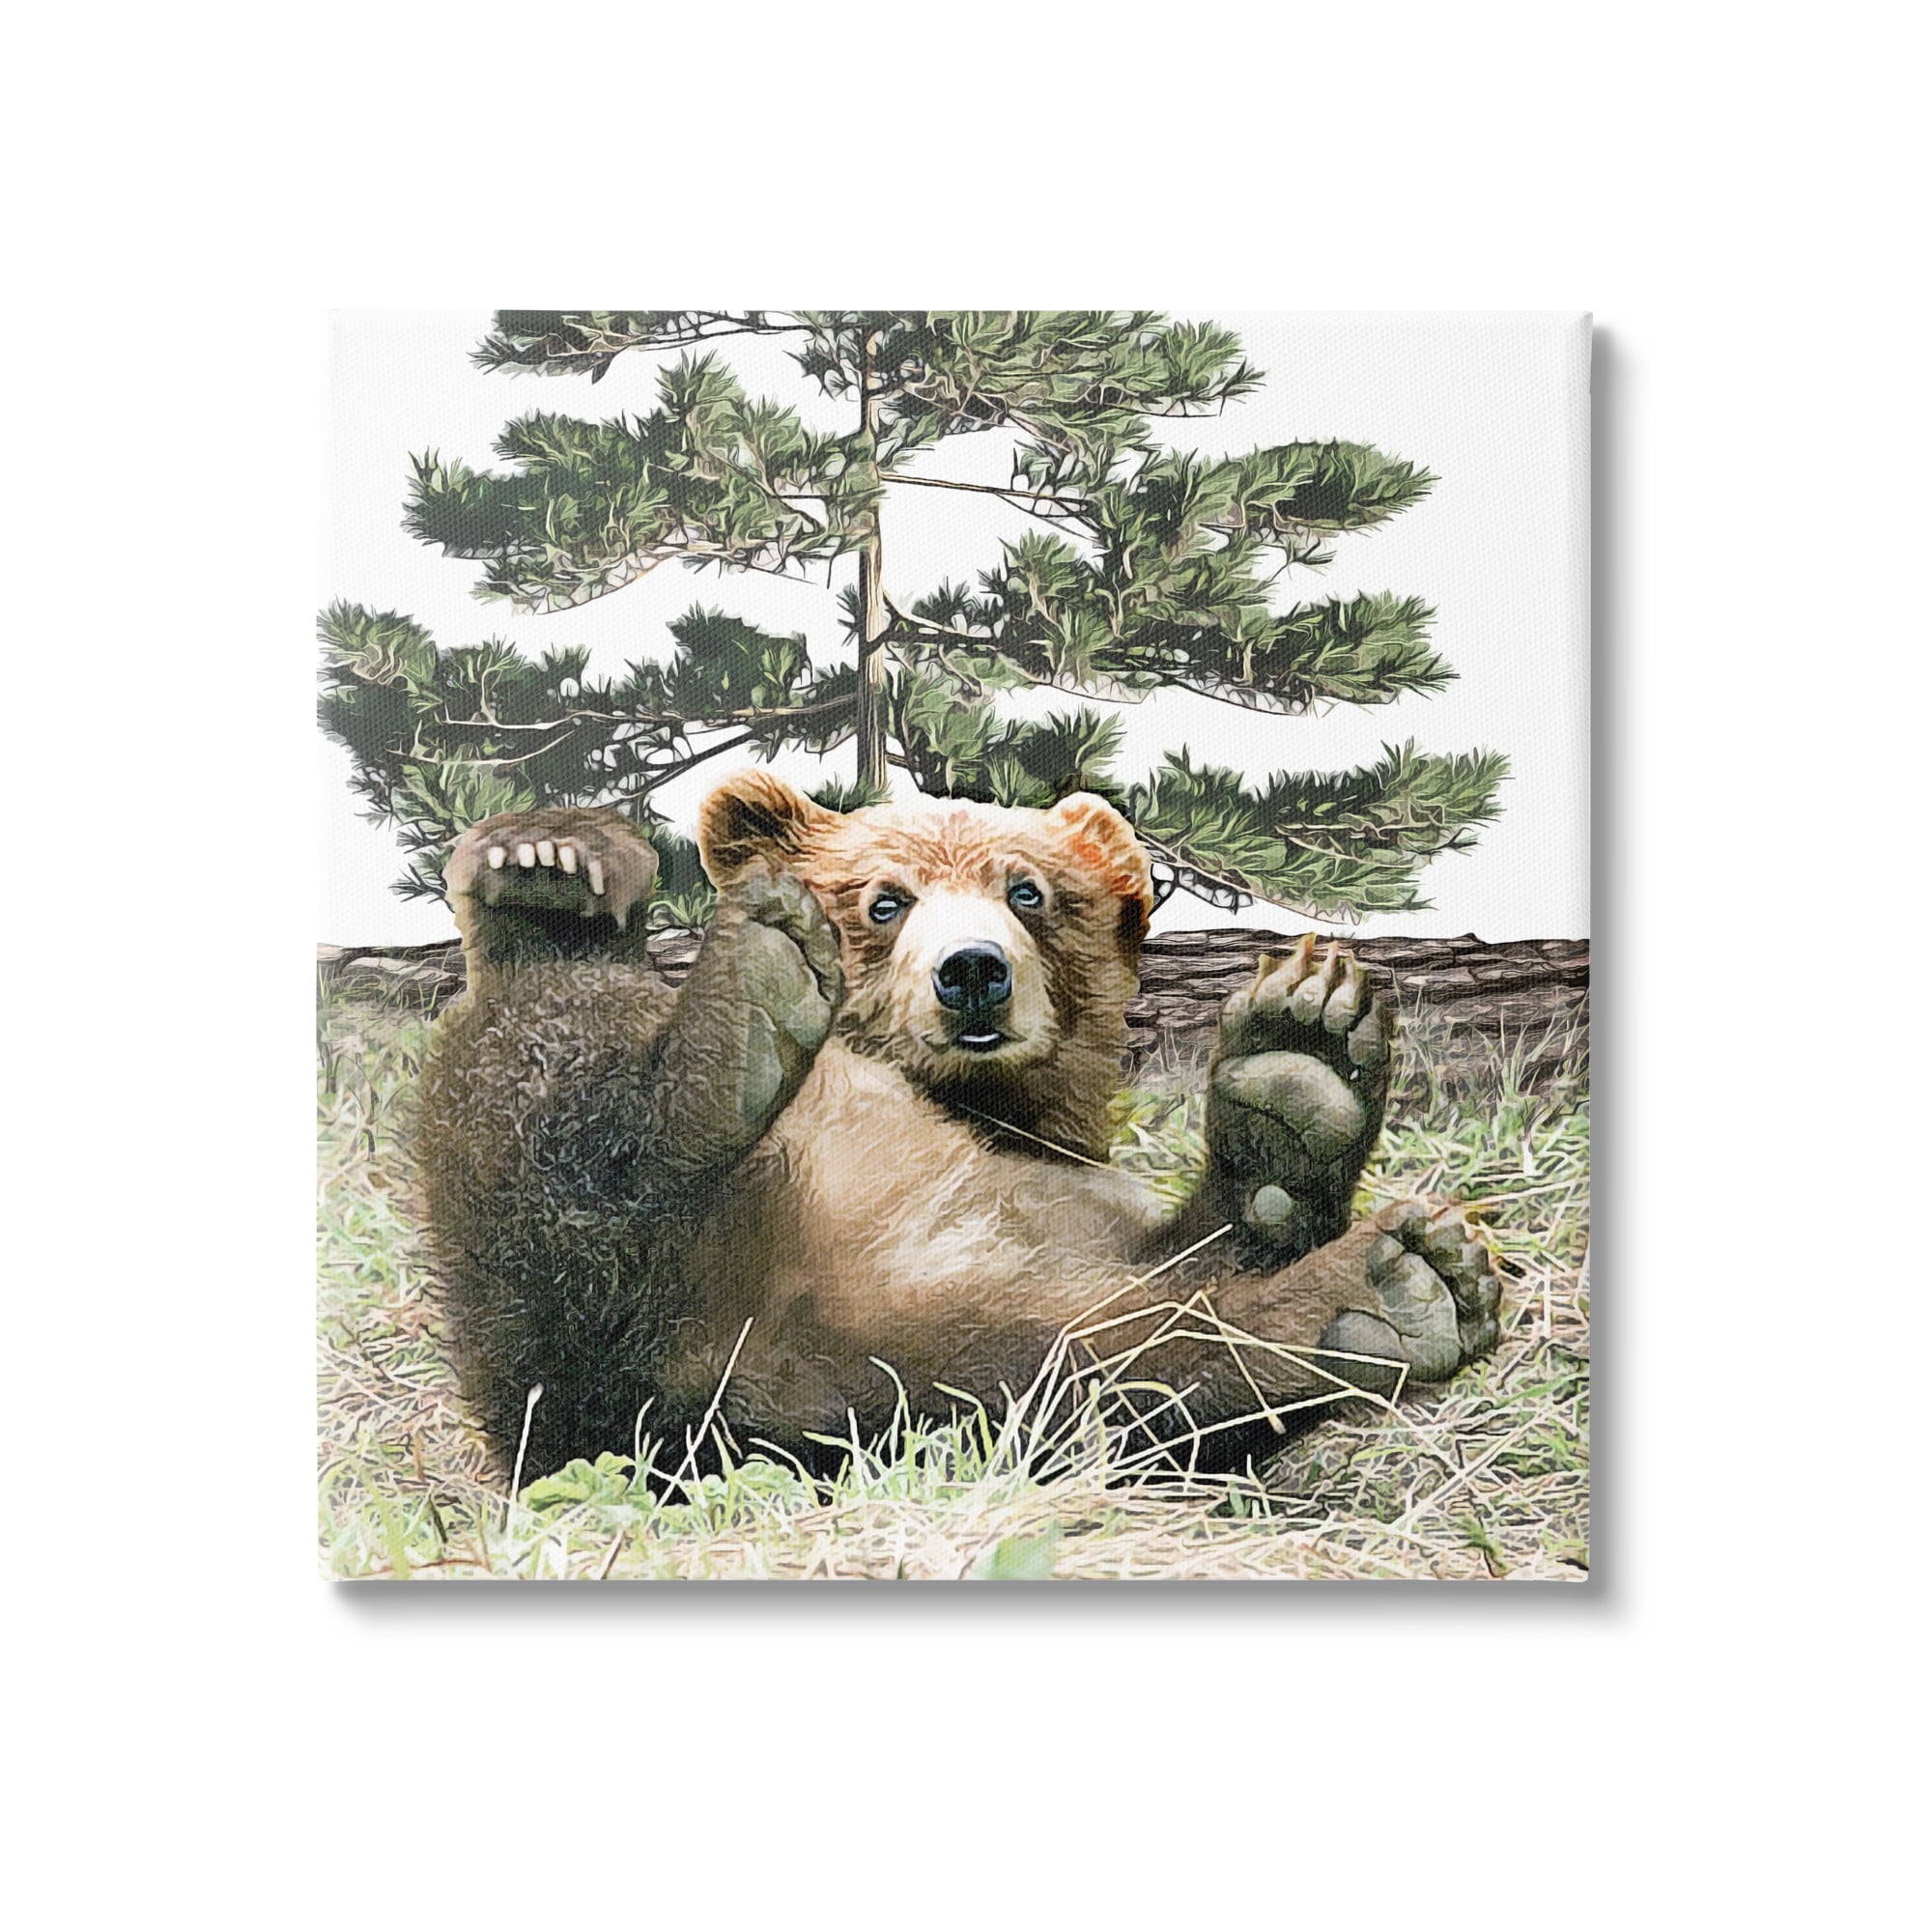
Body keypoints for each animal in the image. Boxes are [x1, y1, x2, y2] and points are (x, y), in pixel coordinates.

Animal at [416, 772, 1500, 1483]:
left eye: (1027, 889)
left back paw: (1381, 1284)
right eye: (884, 899)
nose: (973, 969)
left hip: (875, 1366)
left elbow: (1181, 1276)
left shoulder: (1063, 1199)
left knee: (1096, 1371)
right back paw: (582, 900)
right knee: (543, 1089)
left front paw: (1299, 1069)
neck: (975, 1106)